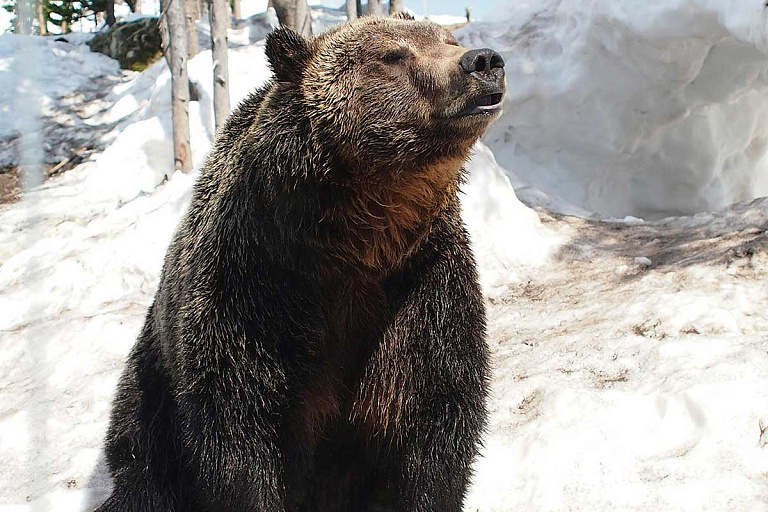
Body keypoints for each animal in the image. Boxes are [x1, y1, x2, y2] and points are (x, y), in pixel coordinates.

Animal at [94, 13, 504, 512]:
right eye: (393, 55)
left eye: (447, 37)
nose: (483, 61)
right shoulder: (256, 292)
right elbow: (241, 436)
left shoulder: (422, 288)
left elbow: (435, 417)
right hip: (152, 384)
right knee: (141, 460)